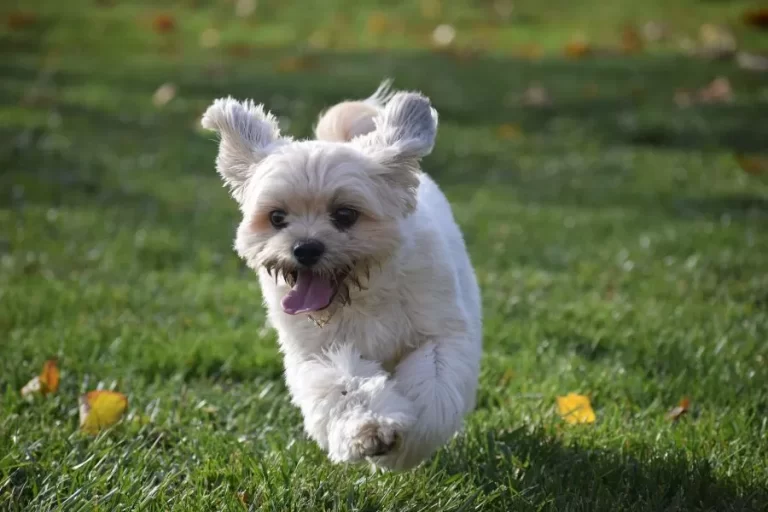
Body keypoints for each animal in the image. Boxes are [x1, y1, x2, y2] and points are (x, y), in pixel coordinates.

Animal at [201, 81, 484, 472]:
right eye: (277, 217)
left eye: (345, 214)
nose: (305, 248)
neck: (364, 294)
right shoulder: (319, 352)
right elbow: (345, 385)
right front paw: (371, 429)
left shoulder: (439, 334)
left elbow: (433, 384)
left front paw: (407, 444)